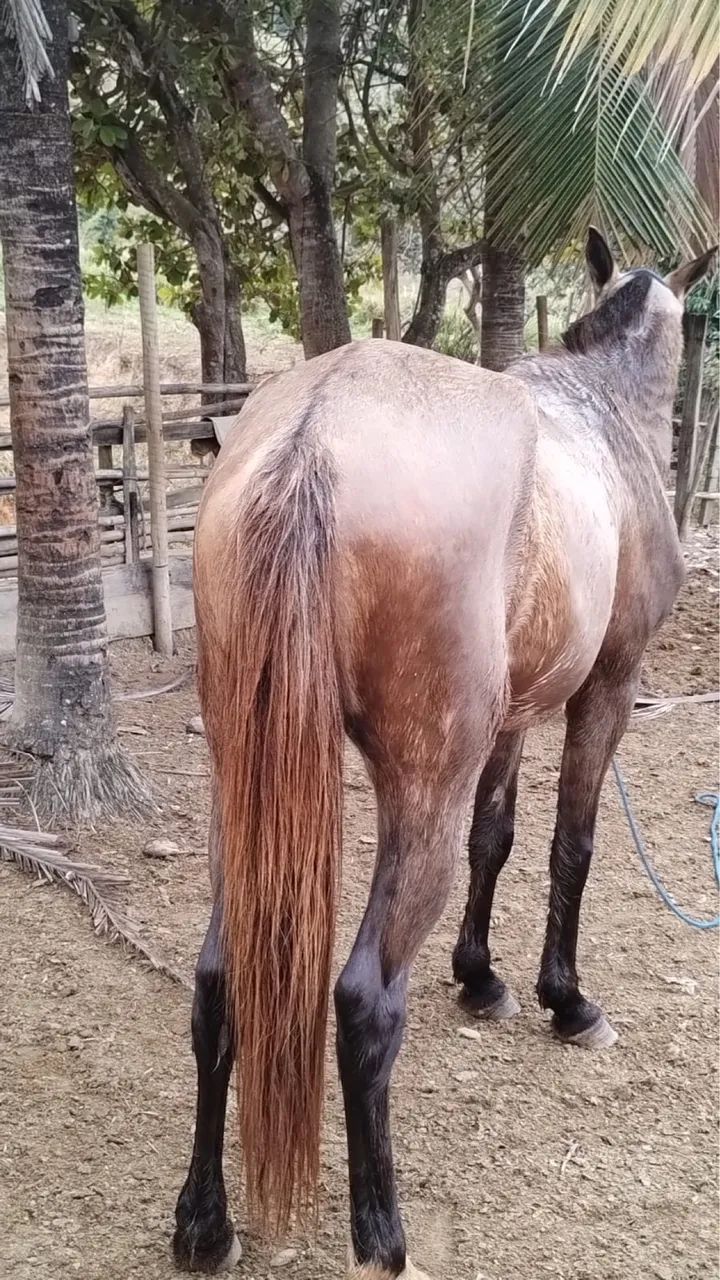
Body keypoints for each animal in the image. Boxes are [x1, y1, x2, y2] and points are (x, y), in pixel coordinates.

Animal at [173, 228, 716, 1279]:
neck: (603, 411)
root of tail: (312, 436)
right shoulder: (607, 687)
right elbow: (572, 847)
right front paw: (564, 1000)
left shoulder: (510, 723)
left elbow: (494, 841)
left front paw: (481, 978)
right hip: (419, 788)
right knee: (365, 999)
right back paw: (381, 1234)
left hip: (239, 793)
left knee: (220, 981)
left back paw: (204, 1223)